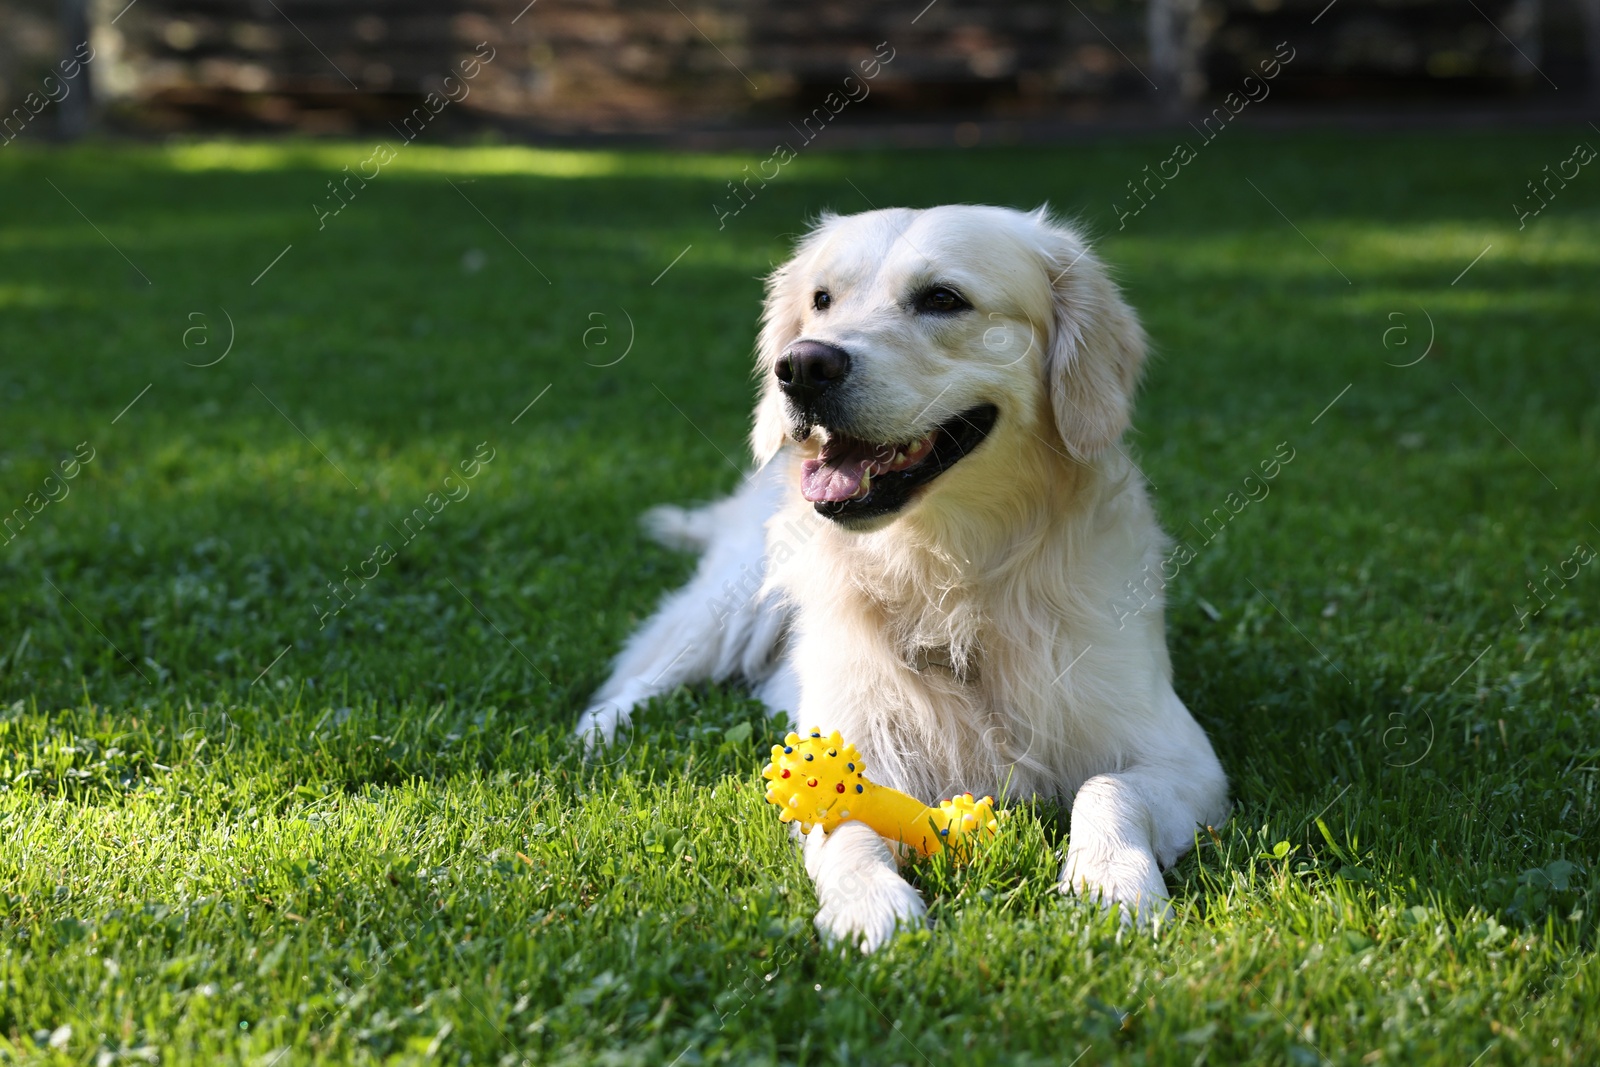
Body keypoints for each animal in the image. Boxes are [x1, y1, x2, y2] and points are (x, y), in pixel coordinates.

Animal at [582, 206, 1228, 953]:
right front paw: (869, 904)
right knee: (640, 677)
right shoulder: (858, 742)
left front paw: (1112, 885)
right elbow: (845, 824)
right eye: (822, 299)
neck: (943, 568)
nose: (800, 366)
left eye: (943, 298)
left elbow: (1106, 788)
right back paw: (598, 735)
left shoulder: (1183, 755)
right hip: (729, 604)